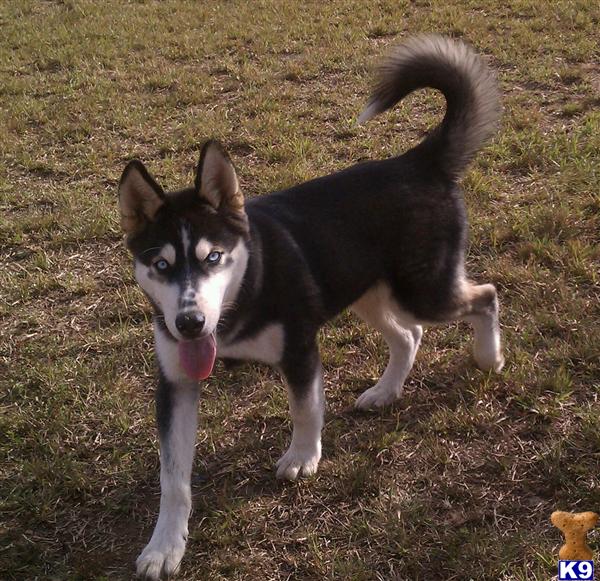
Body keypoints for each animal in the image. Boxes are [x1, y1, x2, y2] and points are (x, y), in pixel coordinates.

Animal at [117, 36, 502, 580]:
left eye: (212, 257)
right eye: (161, 264)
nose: (189, 324)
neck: (242, 293)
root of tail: (417, 160)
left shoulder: (299, 350)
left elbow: (304, 408)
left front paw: (303, 456)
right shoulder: (175, 381)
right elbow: (172, 477)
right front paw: (165, 545)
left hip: (423, 290)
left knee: (484, 296)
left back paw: (490, 357)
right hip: (368, 292)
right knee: (409, 335)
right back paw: (386, 391)